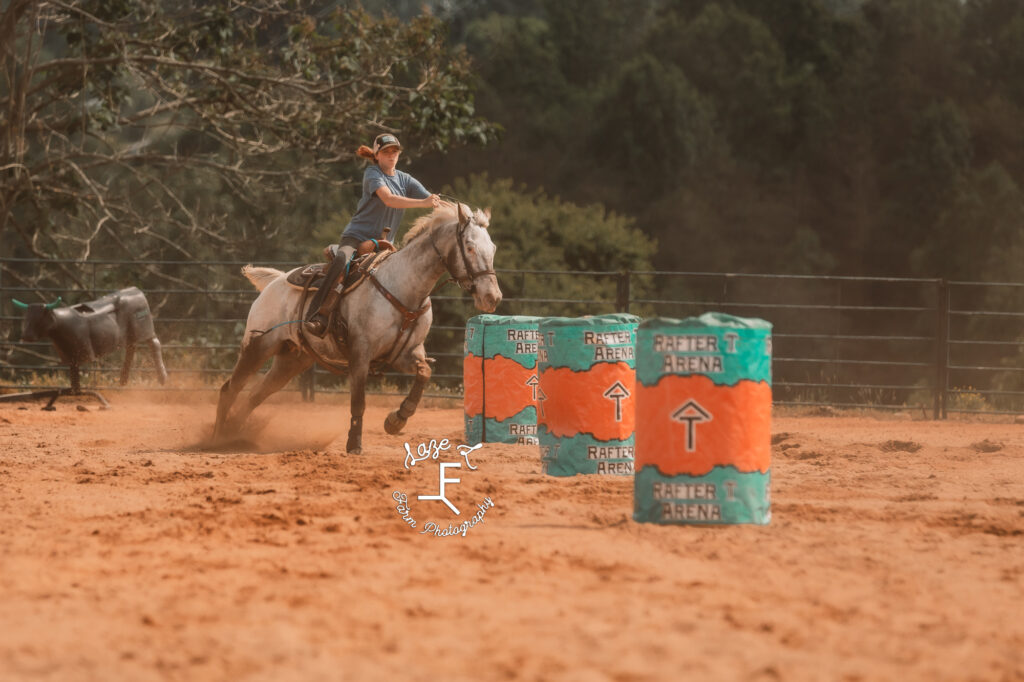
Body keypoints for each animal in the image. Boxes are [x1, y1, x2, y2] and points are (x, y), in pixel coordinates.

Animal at [211, 201, 499, 450]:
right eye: (470, 247)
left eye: (493, 248)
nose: (492, 297)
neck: (402, 287)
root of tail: (275, 282)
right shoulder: (361, 353)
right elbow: (358, 401)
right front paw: (354, 444)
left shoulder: (406, 354)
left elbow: (424, 373)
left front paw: (396, 420)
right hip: (259, 345)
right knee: (230, 389)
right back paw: (217, 436)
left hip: (291, 360)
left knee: (255, 396)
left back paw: (234, 435)